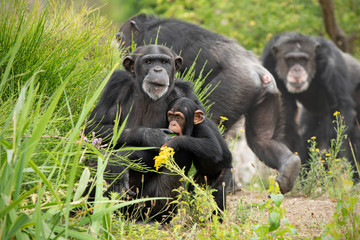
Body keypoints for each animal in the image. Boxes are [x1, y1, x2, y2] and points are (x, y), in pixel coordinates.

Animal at [87, 44, 232, 221]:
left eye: (164, 62)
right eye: (148, 62)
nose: (157, 69)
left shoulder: (186, 94)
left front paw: (124, 156)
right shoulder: (115, 85)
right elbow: (93, 127)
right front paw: (150, 135)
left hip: (146, 204)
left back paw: (155, 219)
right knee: (97, 150)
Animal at [117, 13, 300, 193]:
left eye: (120, 38)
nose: (120, 49)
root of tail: (262, 75)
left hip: (233, 87)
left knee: (213, 122)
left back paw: (226, 184)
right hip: (268, 97)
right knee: (262, 139)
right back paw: (289, 168)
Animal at [262, 31, 360, 176]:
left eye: (303, 59)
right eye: (290, 60)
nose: (297, 70)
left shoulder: (332, 61)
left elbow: (340, 106)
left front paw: (330, 163)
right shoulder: (270, 64)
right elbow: (286, 118)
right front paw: (294, 169)